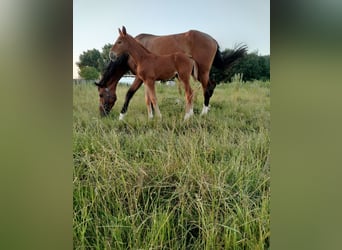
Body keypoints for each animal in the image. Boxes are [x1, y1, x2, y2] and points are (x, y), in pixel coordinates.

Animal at [95, 27, 247, 117]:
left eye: (101, 95)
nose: (102, 114)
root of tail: (213, 40)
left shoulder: (139, 77)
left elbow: (130, 93)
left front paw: (122, 115)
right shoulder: (146, 79)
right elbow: (148, 98)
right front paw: (152, 116)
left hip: (202, 72)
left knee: (206, 88)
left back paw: (201, 114)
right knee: (209, 86)